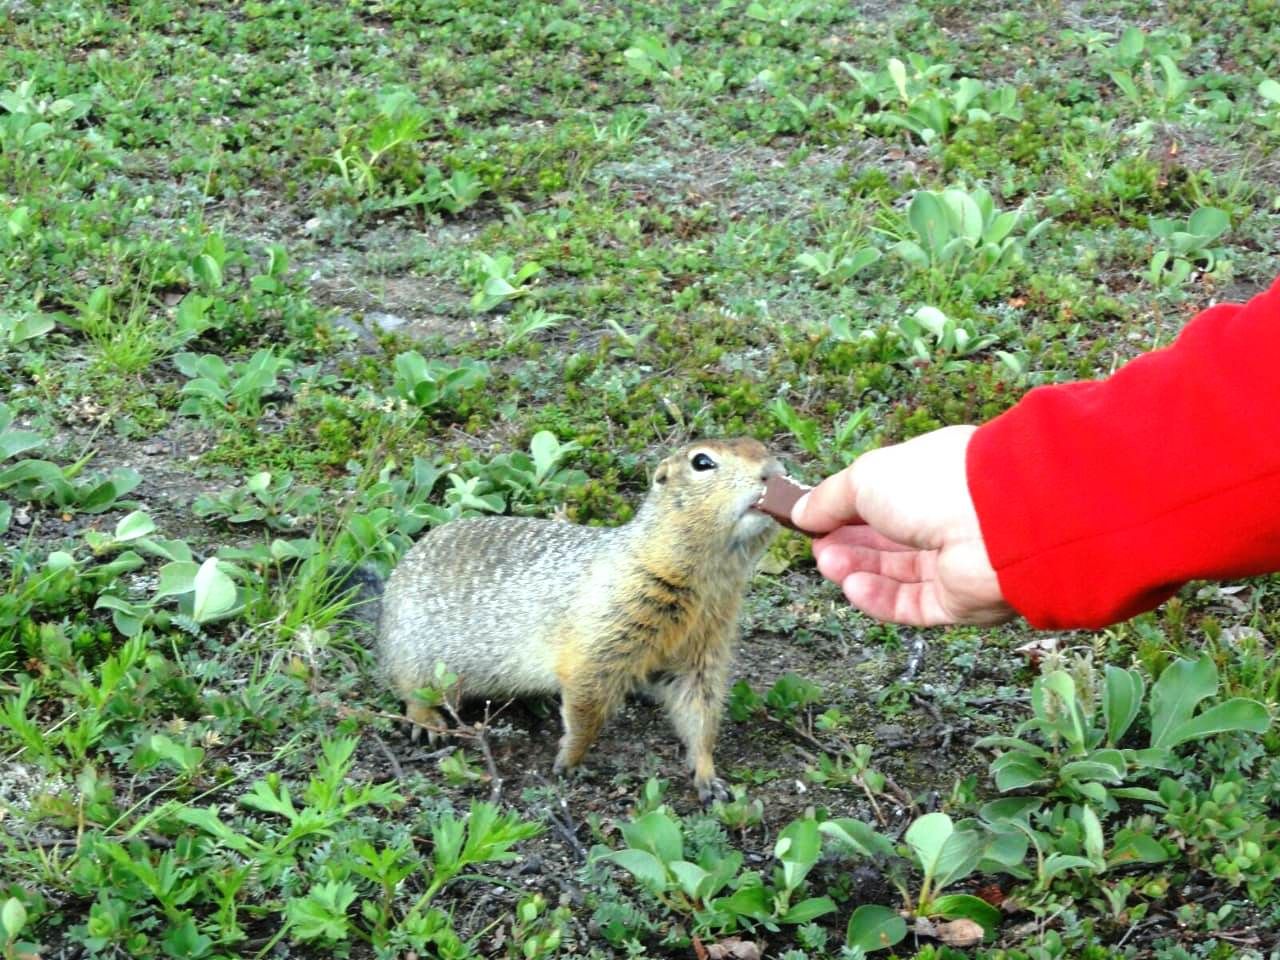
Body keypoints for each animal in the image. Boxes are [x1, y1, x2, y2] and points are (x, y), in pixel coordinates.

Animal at [373, 440, 783, 798]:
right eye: (702, 462)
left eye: (761, 446)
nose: (774, 472)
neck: (708, 583)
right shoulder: (609, 626)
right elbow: (588, 698)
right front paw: (569, 759)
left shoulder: (707, 640)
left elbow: (700, 705)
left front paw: (709, 776)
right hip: (412, 651)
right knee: (407, 689)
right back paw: (429, 721)